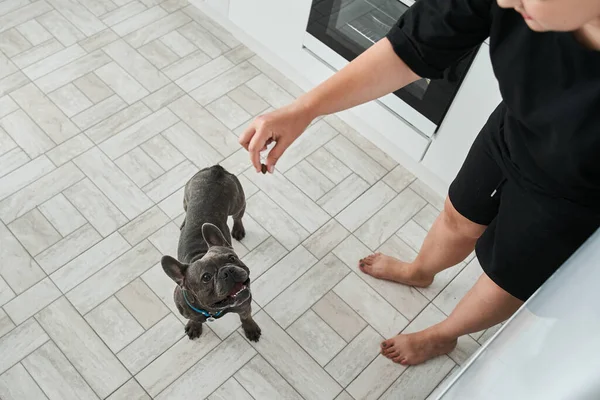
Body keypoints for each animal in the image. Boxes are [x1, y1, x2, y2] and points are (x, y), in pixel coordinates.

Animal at [161, 164, 262, 342]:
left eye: (232, 258)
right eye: (206, 277)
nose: (227, 270)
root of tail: (216, 169)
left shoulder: (244, 304)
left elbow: (246, 316)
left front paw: (250, 328)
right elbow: (194, 318)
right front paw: (194, 326)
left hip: (238, 204)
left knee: (237, 216)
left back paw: (238, 229)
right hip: (186, 198)